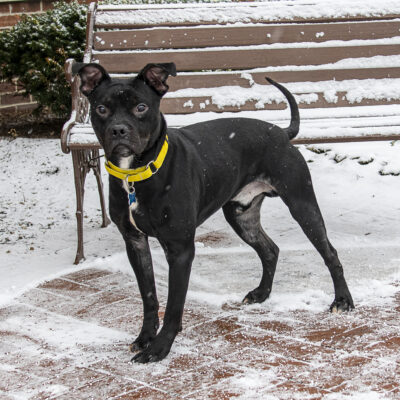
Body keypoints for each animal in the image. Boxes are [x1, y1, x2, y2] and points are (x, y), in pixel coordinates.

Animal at [74, 61, 354, 362]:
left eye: (141, 107)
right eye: (101, 109)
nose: (119, 130)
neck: (136, 174)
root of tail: (281, 132)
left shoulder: (180, 248)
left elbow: (174, 305)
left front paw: (159, 348)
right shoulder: (134, 242)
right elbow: (149, 296)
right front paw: (145, 337)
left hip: (302, 204)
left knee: (330, 253)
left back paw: (342, 300)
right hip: (241, 216)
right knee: (270, 250)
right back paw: (262, 293)